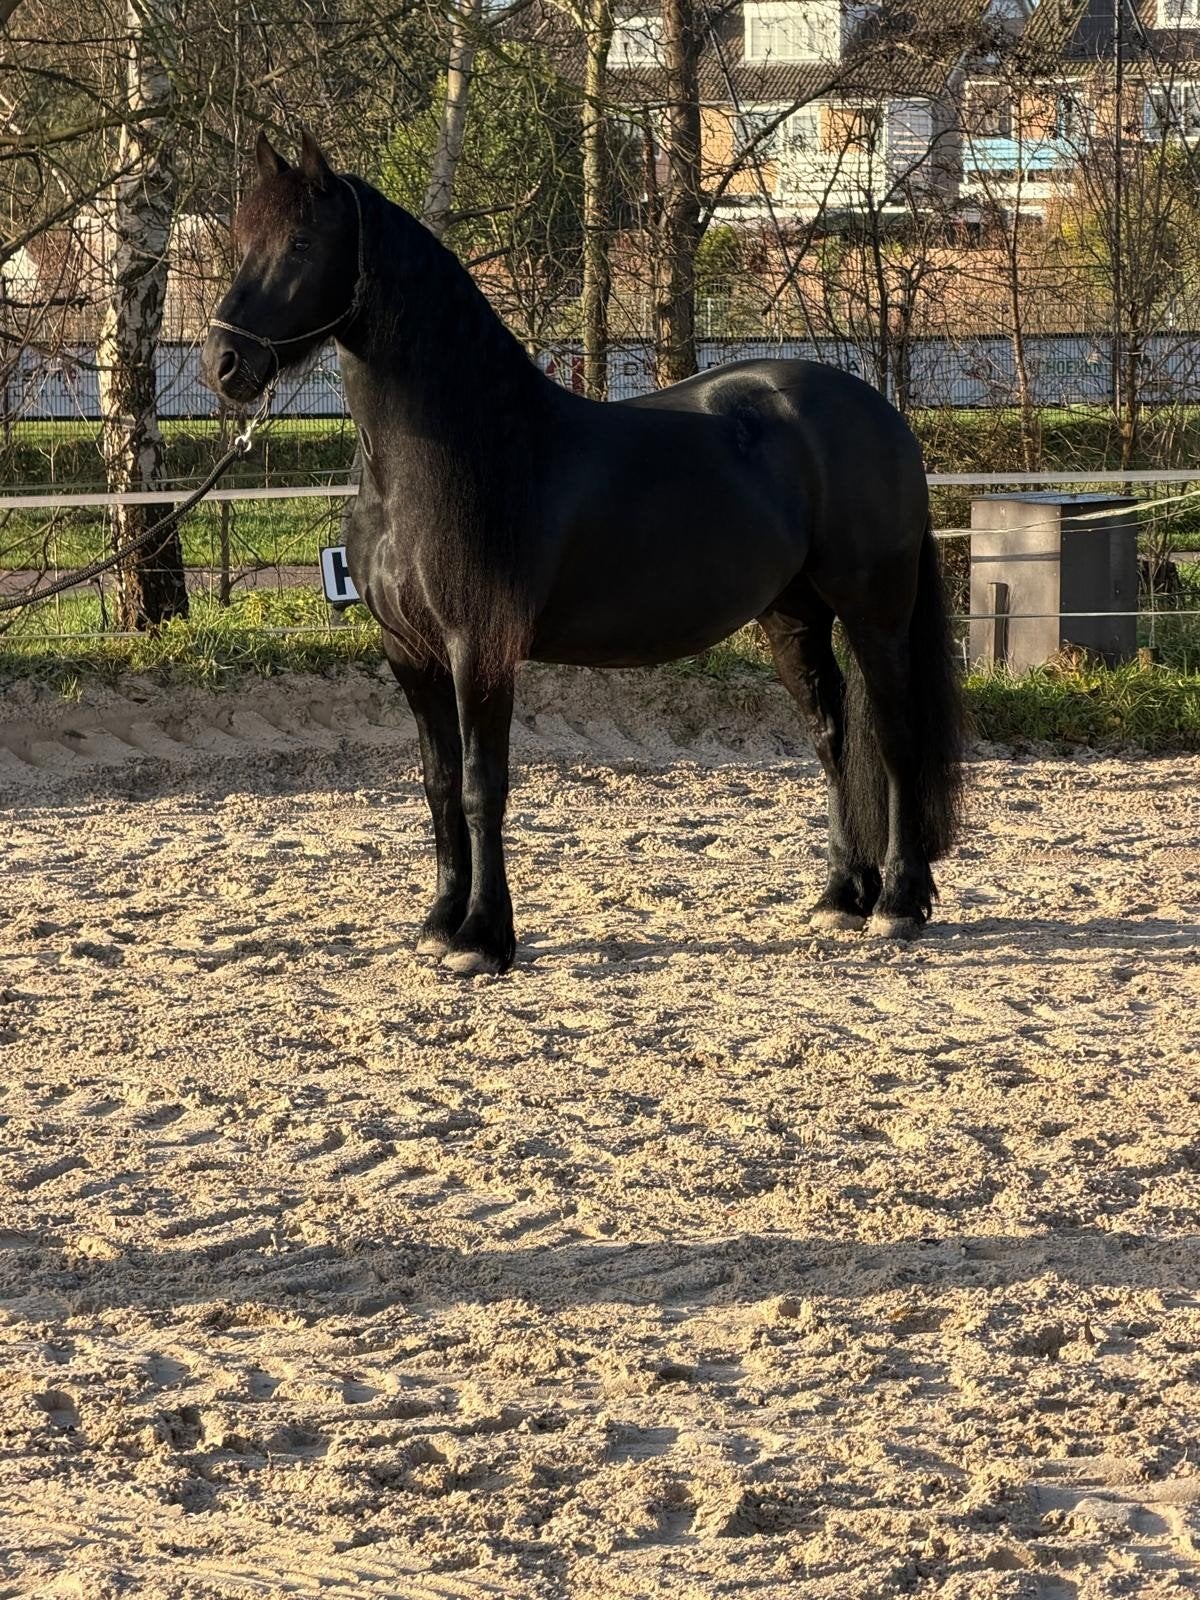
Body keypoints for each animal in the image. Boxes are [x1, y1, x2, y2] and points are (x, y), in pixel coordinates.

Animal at [203, 130, 965, 977]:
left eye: (302, 243)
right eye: (242, 240)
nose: (224, 365)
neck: (457, 451)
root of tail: (882, 415)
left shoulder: (479, 649)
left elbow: (482, 787)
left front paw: (483, 938)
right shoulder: (410, 651)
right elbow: (438, 785)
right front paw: (439, 924)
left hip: (875, 614)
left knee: (895, 744)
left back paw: (898, 905)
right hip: (791, 618)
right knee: (831, 740)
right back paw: (841, 898)